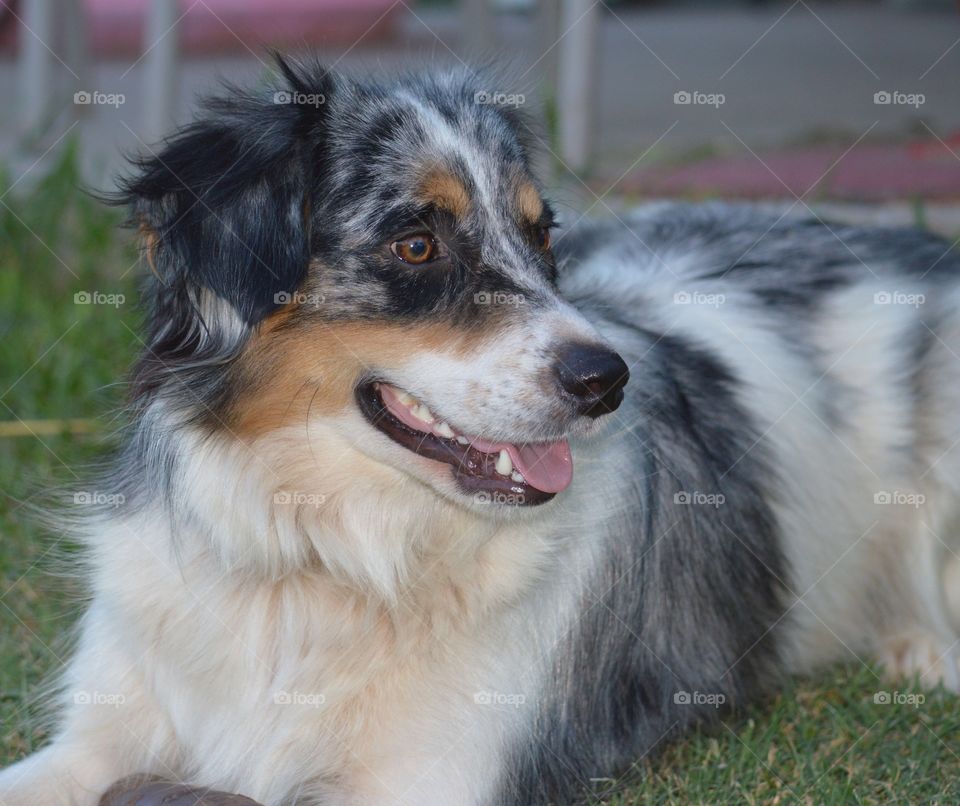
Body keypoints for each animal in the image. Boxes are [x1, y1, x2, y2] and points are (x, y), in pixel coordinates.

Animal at [1, 53, 960, 804]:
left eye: (543, 235)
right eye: (417, 244)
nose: (606, 380)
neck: (322, 550)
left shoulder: (427, 778)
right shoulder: (98, 734)